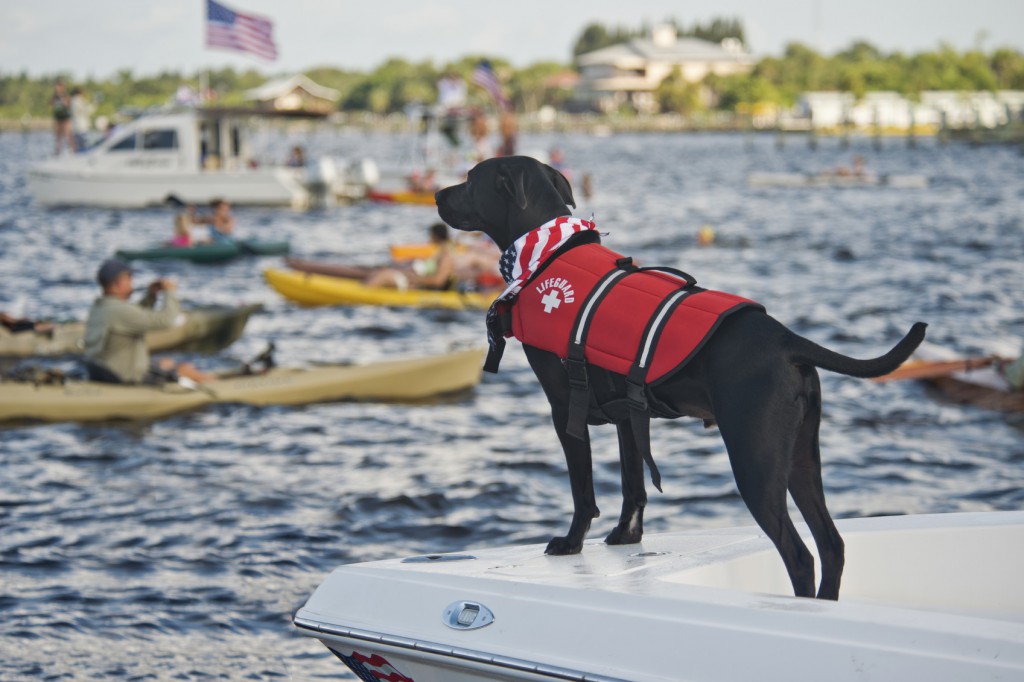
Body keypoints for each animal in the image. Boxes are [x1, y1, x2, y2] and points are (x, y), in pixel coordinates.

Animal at [436, 156, 925, 598]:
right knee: (832, 546)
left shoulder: (565, 411)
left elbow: (583, 493)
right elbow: (634, 487)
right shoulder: (629, 417)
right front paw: (627, 538)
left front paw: (571, 543)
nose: (438, 195)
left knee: (801, 556)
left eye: (470, 178)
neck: (550, 250)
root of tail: (786, 339)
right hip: (802, 460)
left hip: (756, 463)